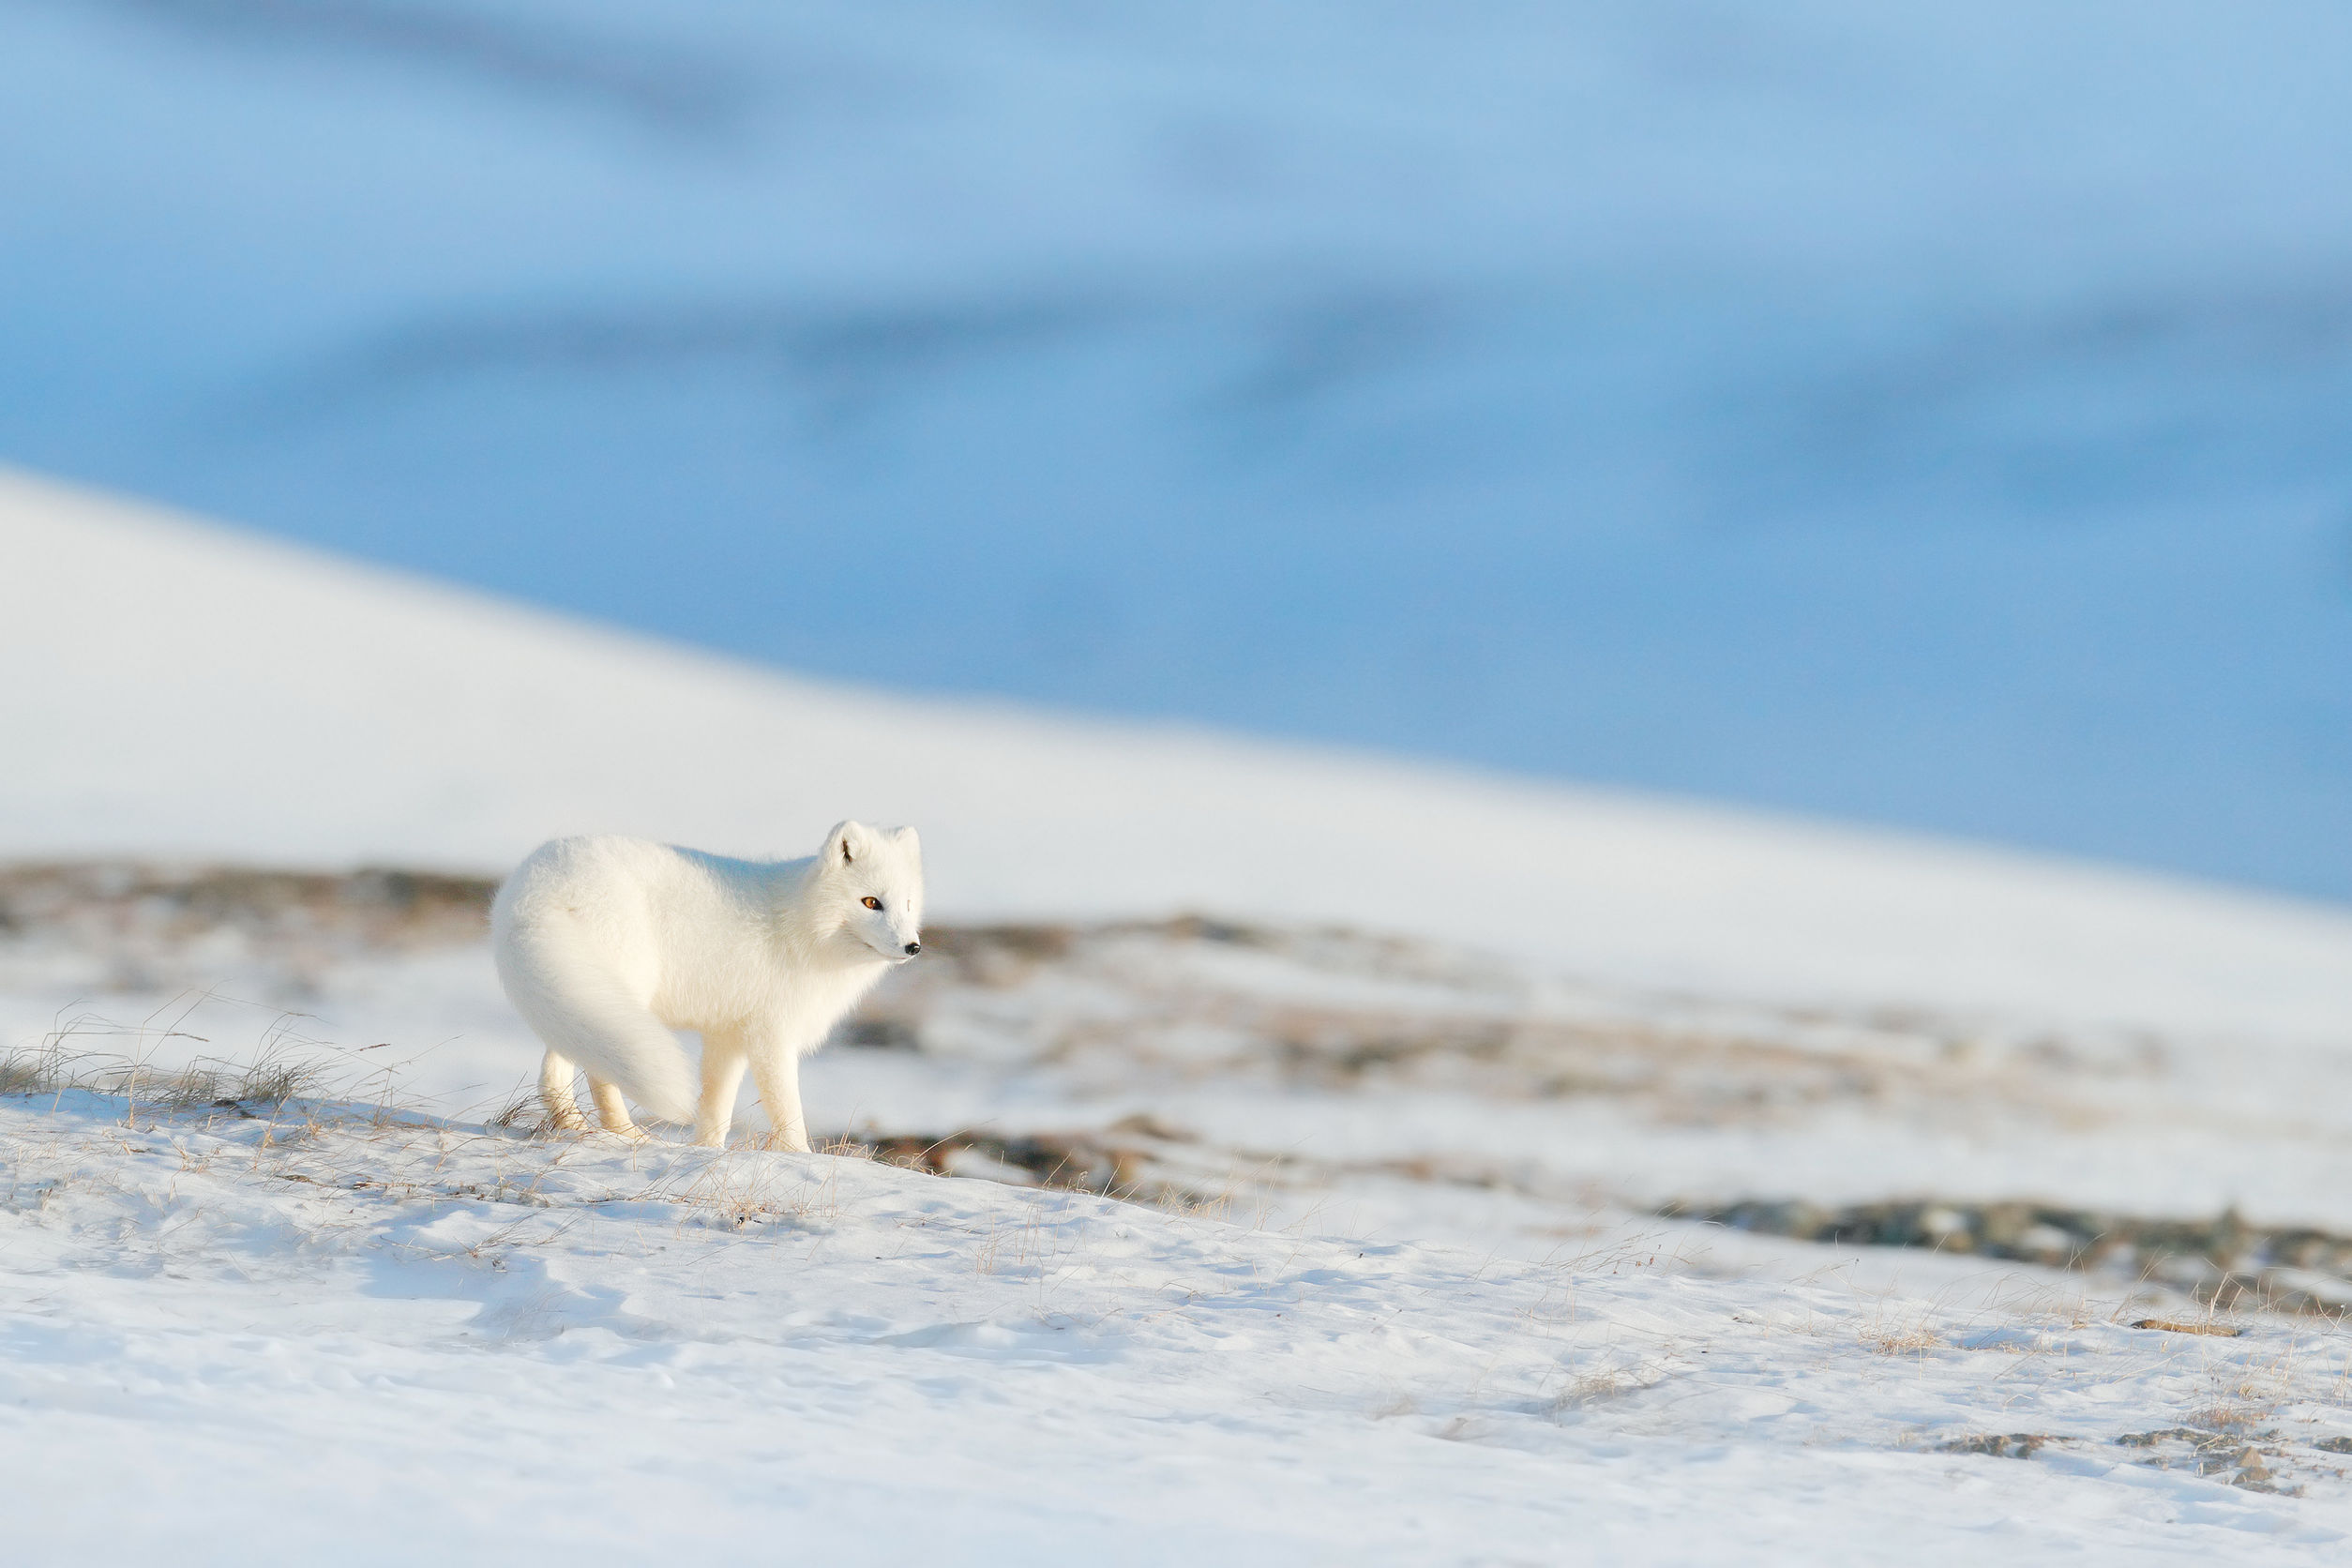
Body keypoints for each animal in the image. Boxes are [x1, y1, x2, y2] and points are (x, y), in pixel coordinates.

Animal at [491, 822, 922, 1152]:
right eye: (871, 902)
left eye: (908, 904)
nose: (913, 947)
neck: (800, 927)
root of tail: (536, 885)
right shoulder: (770, 1036)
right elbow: (786, 1110)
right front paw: (799, 1157)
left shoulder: (726, 1036)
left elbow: (716, 1108)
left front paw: (706, 1152)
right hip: (617, 991)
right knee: (597, 1072)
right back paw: (628, 1135)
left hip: (573, 999)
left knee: (553, 1073)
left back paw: (578, 1129)